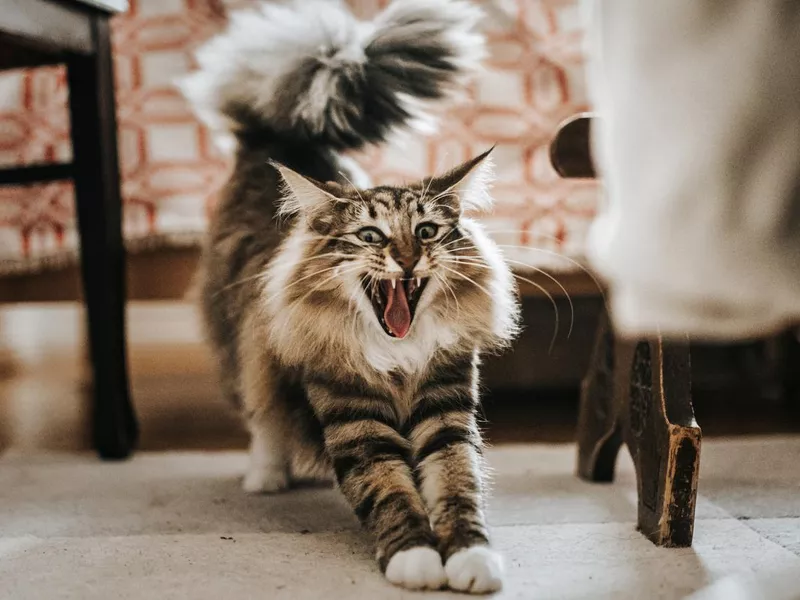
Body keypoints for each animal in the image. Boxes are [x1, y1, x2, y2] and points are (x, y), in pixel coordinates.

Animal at [180, 0, 520, 592]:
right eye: (371, 237)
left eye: (426, 232)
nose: (406, 258)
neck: (399, 357)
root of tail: (279, 136)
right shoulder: (356, 419)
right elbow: (391, 493)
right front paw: (415, 561)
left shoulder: (446, 411)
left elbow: (459, 488)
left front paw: (472, 560)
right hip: (245, 334)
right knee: (261, 410)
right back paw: (265, 476)